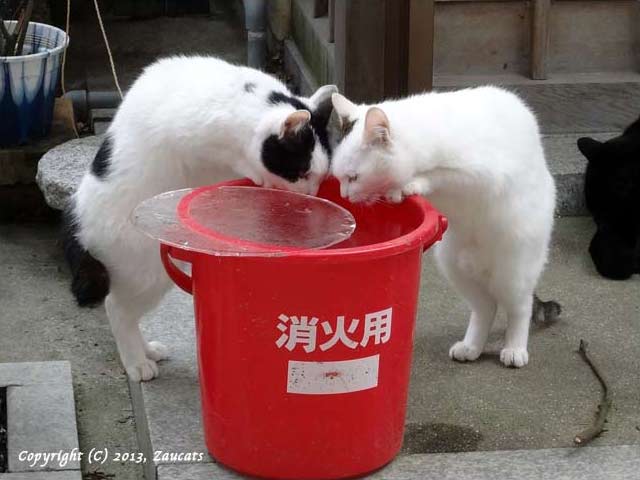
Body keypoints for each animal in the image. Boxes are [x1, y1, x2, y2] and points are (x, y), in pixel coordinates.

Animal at [62, 55, 338, 378]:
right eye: (302, 172)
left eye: (320, 177)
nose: (311, 195)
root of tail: (77, 222)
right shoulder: (191, 141)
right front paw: (260, 178)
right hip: (145, 270)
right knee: (116, 307)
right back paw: (136, 362)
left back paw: (148, 351)